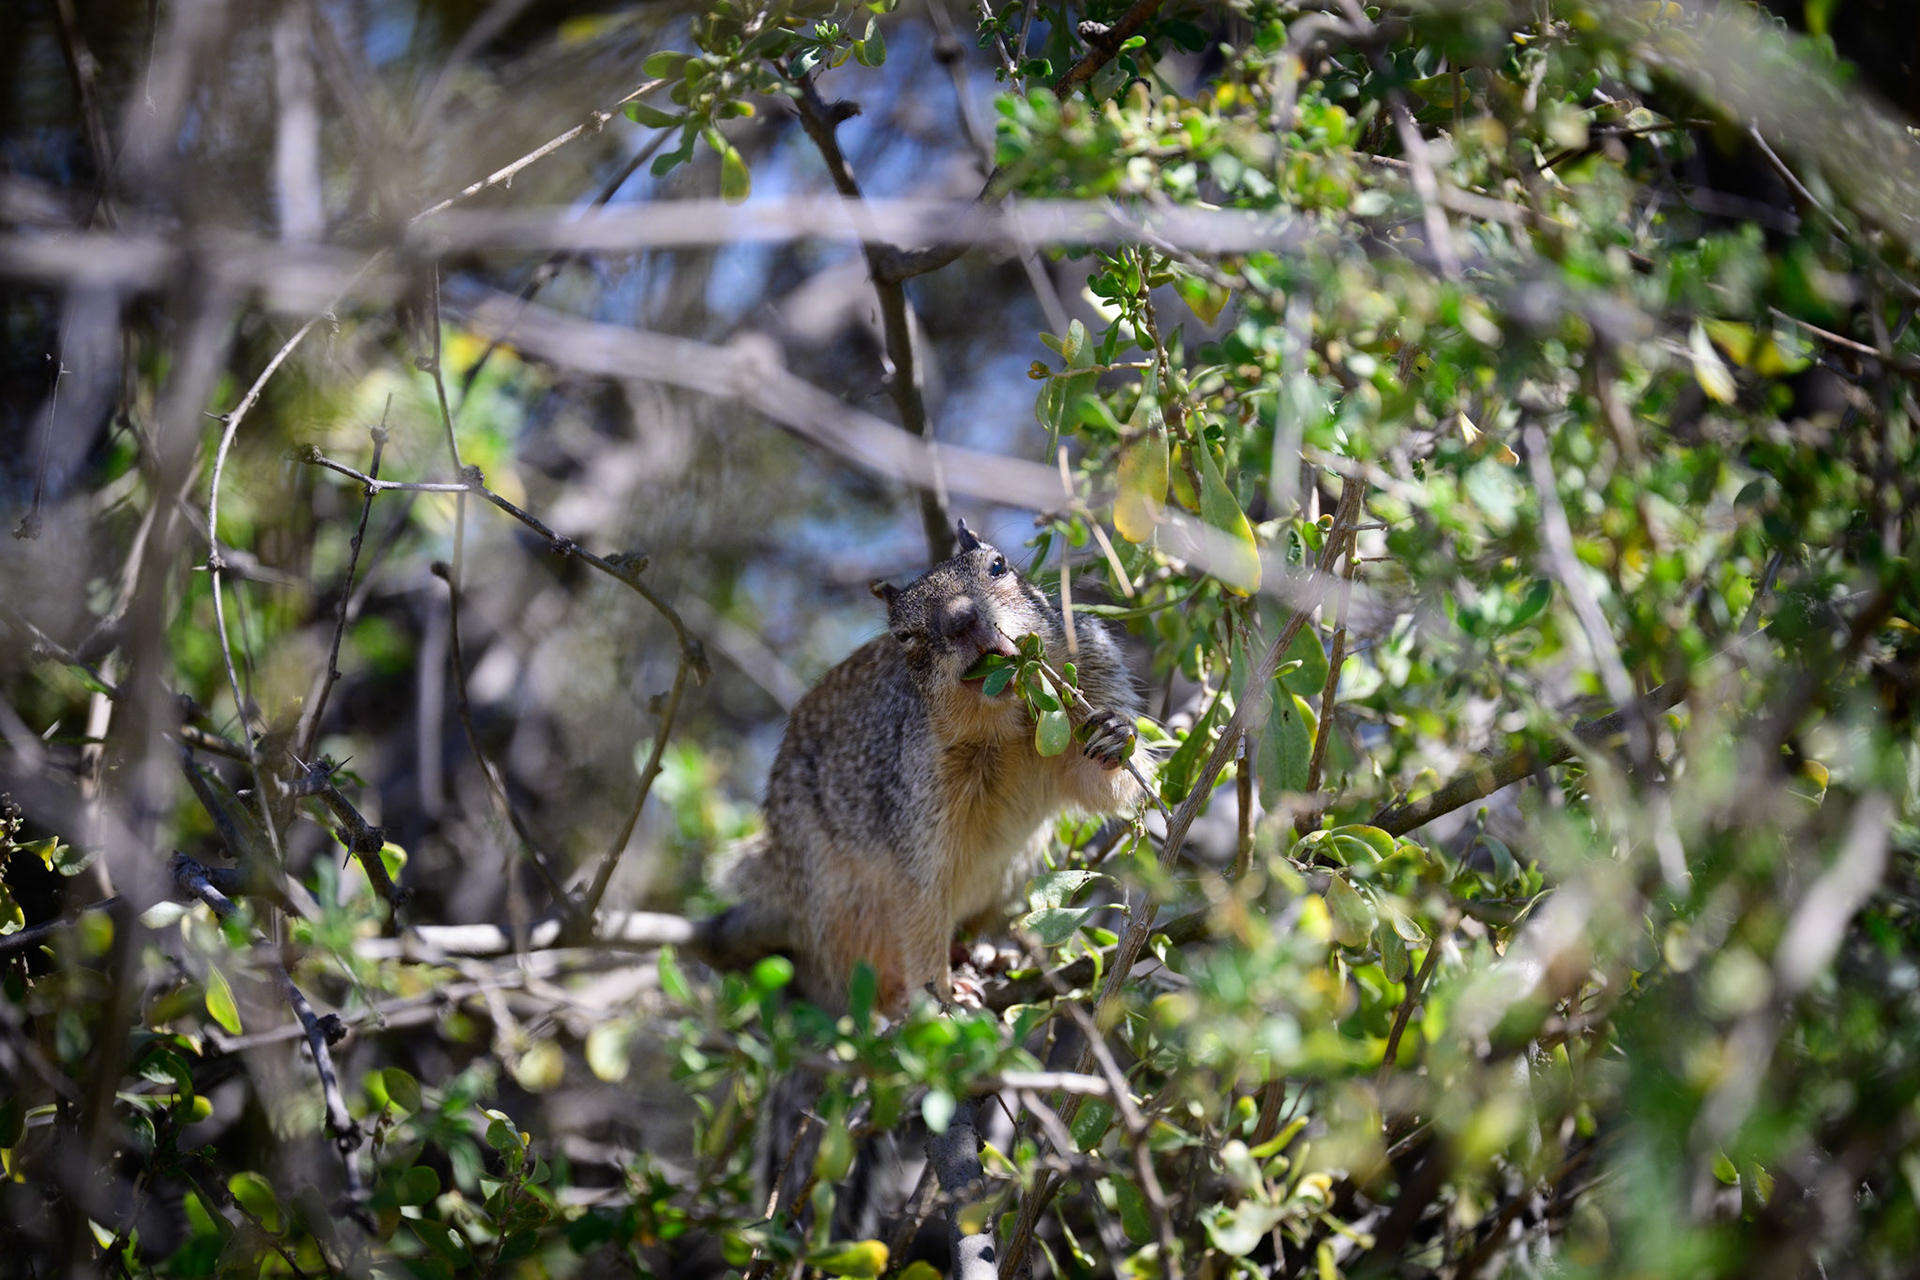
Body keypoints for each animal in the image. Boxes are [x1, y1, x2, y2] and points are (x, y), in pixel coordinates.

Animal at [703, 519, 1143, 1016]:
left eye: (998, 565)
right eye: (902, 636)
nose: (961, 619)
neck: (1008, 726)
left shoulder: (1093, 664)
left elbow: (1104, 789)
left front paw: (1113, 731)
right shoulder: (918, 805)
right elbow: (921, 906)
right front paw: (941, 997)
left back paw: (987, 951)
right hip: (840, 901)